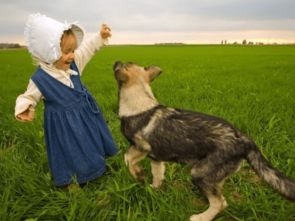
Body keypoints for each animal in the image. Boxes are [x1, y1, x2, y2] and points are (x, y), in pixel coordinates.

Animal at [113, 60, 295, 221]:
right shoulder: (156, 158)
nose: (116, 61)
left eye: (125, 63)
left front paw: (137, 175)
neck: (140, 103)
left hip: (200, 173)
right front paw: (152, 188)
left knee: (219, 203)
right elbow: (157, 175)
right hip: (214, 177)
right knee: (222, 201)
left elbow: (127, 158)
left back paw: (201, 217)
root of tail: (244, 139)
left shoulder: (142, 147)